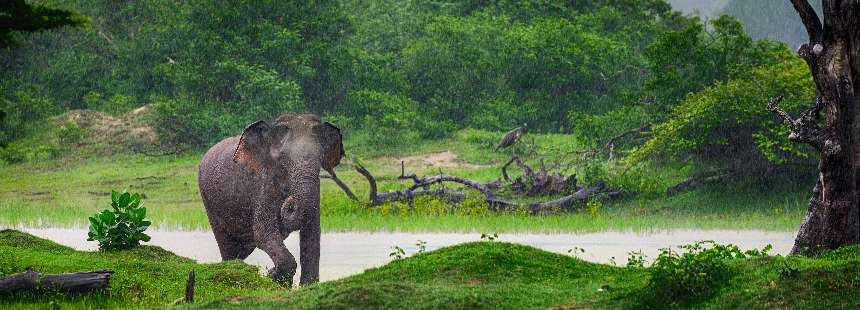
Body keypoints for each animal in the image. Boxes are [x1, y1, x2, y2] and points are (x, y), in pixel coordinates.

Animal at [197, 112, 342, 286]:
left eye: (320, 157)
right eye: (283, 159)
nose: (289, 202)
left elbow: (312, 233)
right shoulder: (263, 184)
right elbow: (263, 233)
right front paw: (272, 276)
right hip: (208, 199)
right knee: (228, 247)